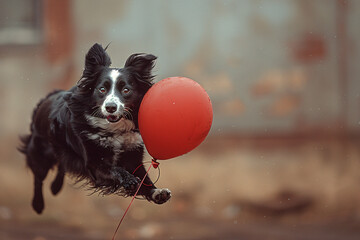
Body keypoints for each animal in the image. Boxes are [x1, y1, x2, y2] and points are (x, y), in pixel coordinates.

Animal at [19, 43, 172, 214]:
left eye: (126, 90)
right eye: (102, 89)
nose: (111, 107)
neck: (114, 129)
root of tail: (47, 97)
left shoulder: (133, 156)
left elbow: (144, 178)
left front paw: (156, 192)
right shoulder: (93, 163)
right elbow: (115, 170)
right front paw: (129, 180)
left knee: (62, 165)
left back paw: (55, 187)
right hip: (40, 151)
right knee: (38, 177)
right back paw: (38, 204)